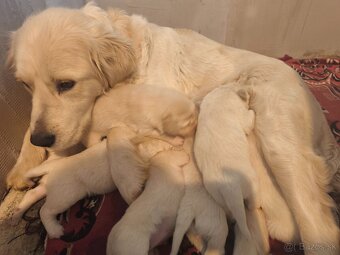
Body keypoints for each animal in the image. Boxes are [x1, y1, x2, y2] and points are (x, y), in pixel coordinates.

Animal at [195, 86, 270, 254]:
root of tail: (231, 188)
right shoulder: (243, 118)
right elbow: (249, 118)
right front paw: (251, 107)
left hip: (218, 196)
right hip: (253, 184)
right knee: (252, 204)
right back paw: (257, 205)